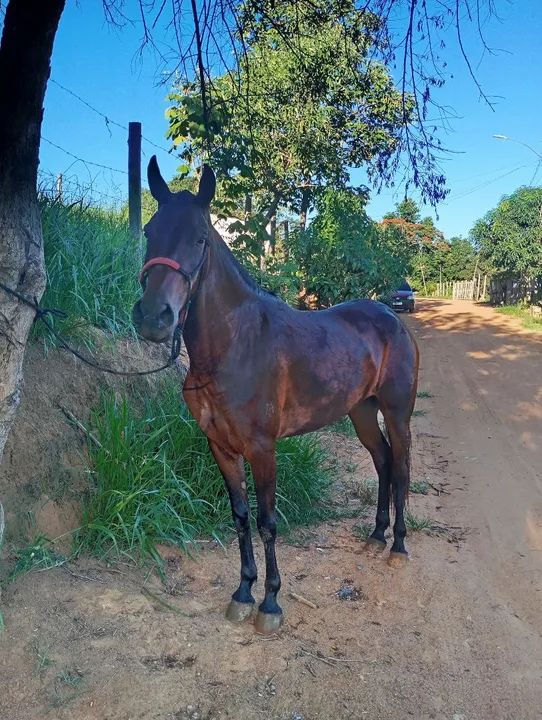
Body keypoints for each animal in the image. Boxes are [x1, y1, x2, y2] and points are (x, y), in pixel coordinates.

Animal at [132, 156, 419, 634]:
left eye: (199, 238)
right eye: (149, 231)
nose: (154, 317)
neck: (234, 346)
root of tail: (391, 318)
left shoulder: (262, 448)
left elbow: (268, 522)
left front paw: (270, 603)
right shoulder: (221, 447)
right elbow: (241, 517)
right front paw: (243, 592)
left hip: (397, 414)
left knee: (399, 467)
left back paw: (397, 545)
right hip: (361, 412)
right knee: (381, 460)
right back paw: (376, 534)